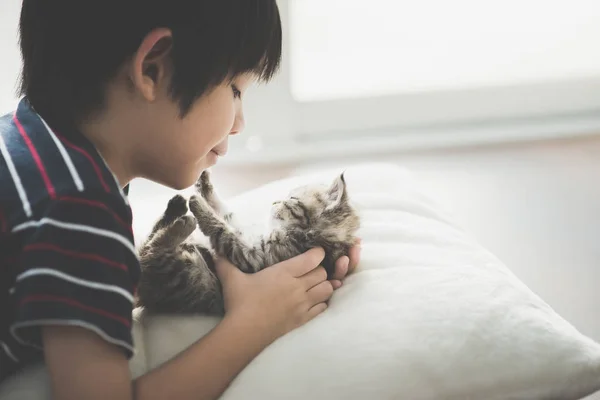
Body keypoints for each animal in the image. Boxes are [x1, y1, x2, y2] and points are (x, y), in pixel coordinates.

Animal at [136, 172, 358, 316]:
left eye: (291, 198)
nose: (274, 202)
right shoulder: (245, 234)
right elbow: (226, 213)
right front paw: (204, 183)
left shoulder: (250, 255)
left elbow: (221, 228)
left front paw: (198, 203)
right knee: (148, 244)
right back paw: (175, 207)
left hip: (182, 272)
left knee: (152, 251)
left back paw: (183, 222)